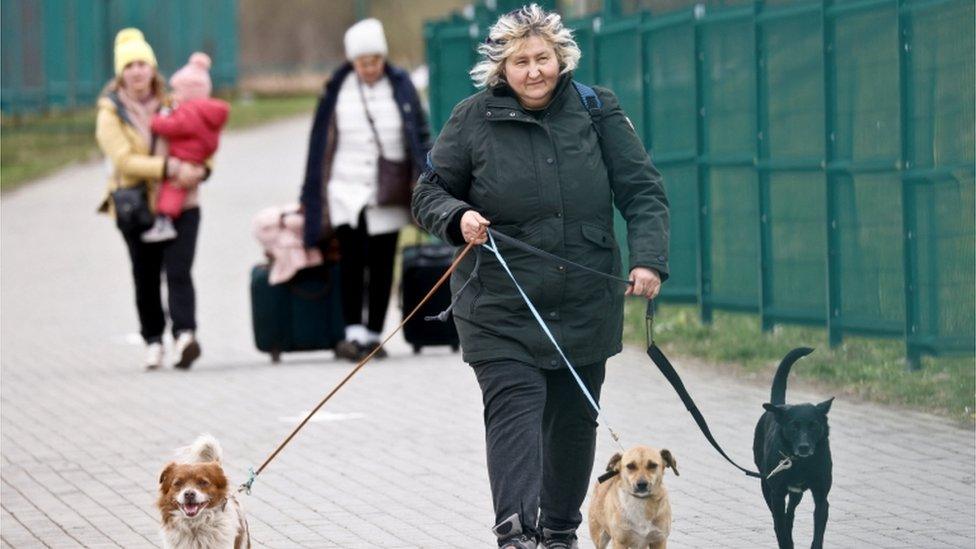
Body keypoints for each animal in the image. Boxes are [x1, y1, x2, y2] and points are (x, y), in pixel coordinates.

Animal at [752, 346, 836, 548]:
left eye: (814, 425)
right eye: (793, 426)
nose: (804, 447)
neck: (801, 463)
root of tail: (779, 405)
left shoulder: (821, 496)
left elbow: (818, 532)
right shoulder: (776, 494)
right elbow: (780, 527)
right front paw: (785, 540)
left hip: (796, 494)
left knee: (790, 513)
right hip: (766, 484)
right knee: (780, 518)